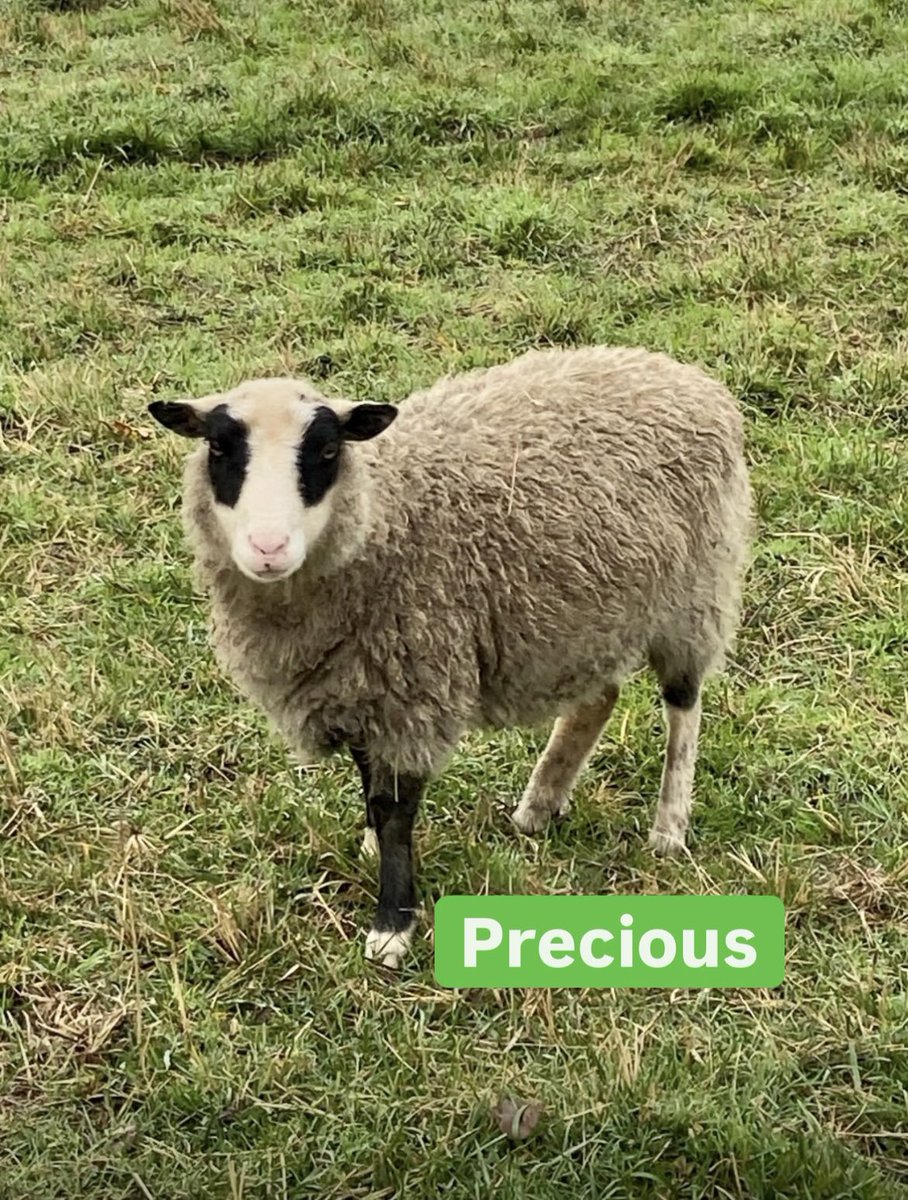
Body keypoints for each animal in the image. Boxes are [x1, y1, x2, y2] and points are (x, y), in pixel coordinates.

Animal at [148, 346, 752, 968]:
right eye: (220, 448)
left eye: (327, 450)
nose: (268, 548)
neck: (386, 513)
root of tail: (678, 373)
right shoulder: (364, 681)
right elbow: (370, 781)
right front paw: (371, 844)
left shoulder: (414, 683)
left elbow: (395, 807)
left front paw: (393, 924)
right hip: (585, 617)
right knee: (597, 698)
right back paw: (540, 804)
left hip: (695, 594)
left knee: (683, 708)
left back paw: (669, 827)